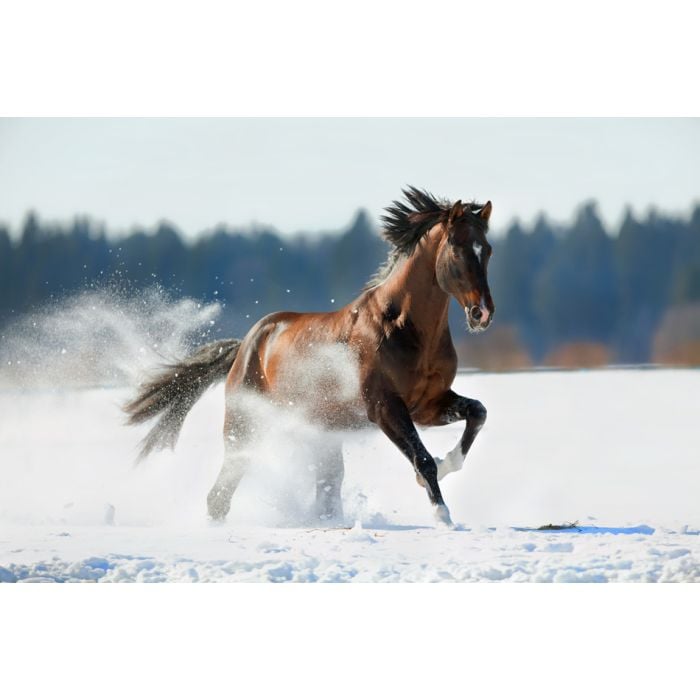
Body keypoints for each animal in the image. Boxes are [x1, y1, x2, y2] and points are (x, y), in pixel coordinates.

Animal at [127, 189, 498, 528]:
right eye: (457, 248)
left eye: (488, 250)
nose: (482, 313)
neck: (402, 326)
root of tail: (246, 345)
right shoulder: (384, 408)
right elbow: (422, 459)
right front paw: (442, 515)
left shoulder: (428, 405)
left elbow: (478, 412)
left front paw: (447, 465)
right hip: (245, 426)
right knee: (221, 492)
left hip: (321, 434)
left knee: (324, 489)